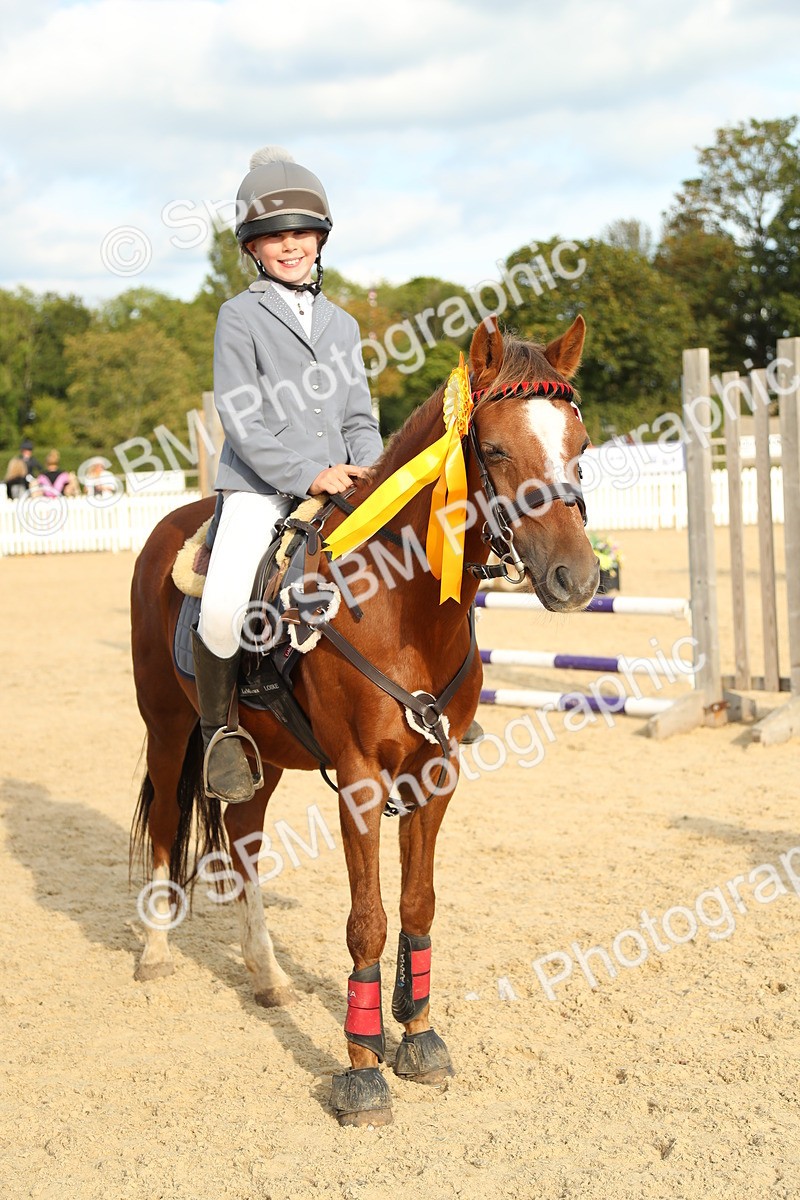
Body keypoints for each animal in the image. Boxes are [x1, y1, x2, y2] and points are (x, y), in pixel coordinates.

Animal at [129, 314, 599, 1126]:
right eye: (495, 449)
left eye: (581, 444)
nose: (578, 578)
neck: (399, 602)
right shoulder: (359, 780)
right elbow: (367, 920)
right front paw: (361, 1068)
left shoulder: (434, 775)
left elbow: (417, 903)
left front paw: (418, 1037)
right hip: (166, 727)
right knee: (164, 828)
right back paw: (157, 953)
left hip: (259, 757)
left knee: (244, 843)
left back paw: (267, 974)